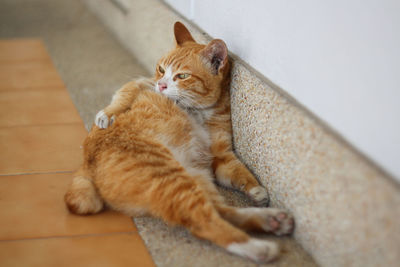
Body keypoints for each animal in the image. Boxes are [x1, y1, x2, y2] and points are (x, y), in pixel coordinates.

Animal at [65, 21, 294, 264]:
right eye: (161, 69)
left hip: (197, 176)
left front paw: (256, 190)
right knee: (204, 221)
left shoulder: (221, 157)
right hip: (172, 180)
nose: (162, 85)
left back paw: (272, 220)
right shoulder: (144, 82)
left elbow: (239, 172)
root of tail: (86, 165)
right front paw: (108, 114)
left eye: (182, 76)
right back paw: (258, 246)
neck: (198, 112)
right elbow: (125, 93)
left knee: (221, 211)